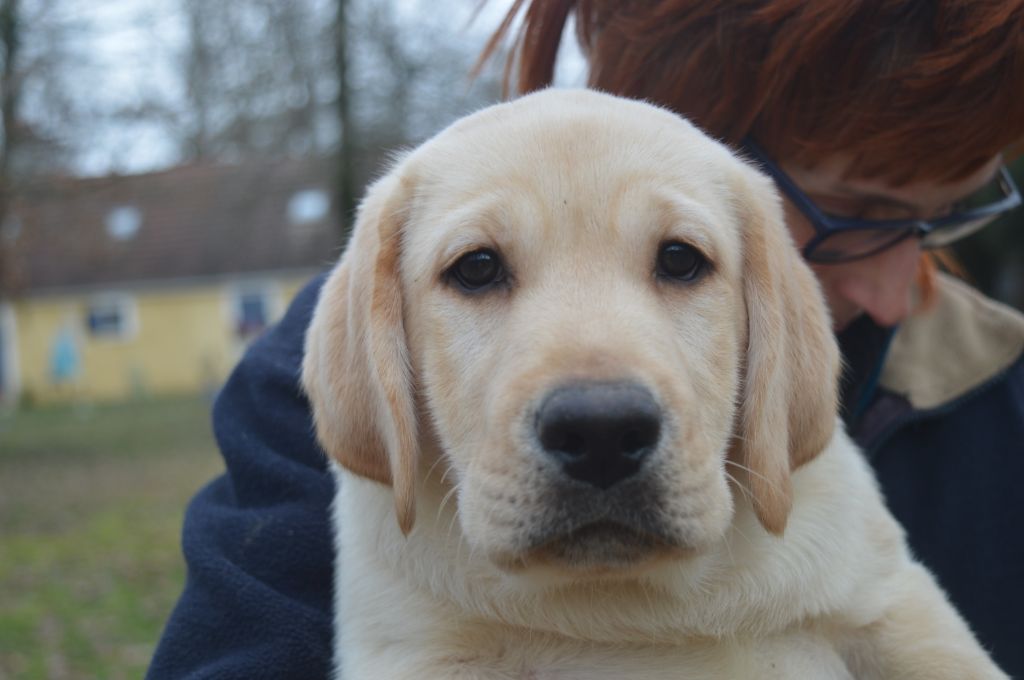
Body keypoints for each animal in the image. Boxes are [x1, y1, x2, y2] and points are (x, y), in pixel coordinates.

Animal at [299, 90, 1003, 680]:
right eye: (475, 268)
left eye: (680, 260)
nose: (601, 431)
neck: (638, 606)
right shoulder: (416, 654)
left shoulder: (893, 603)